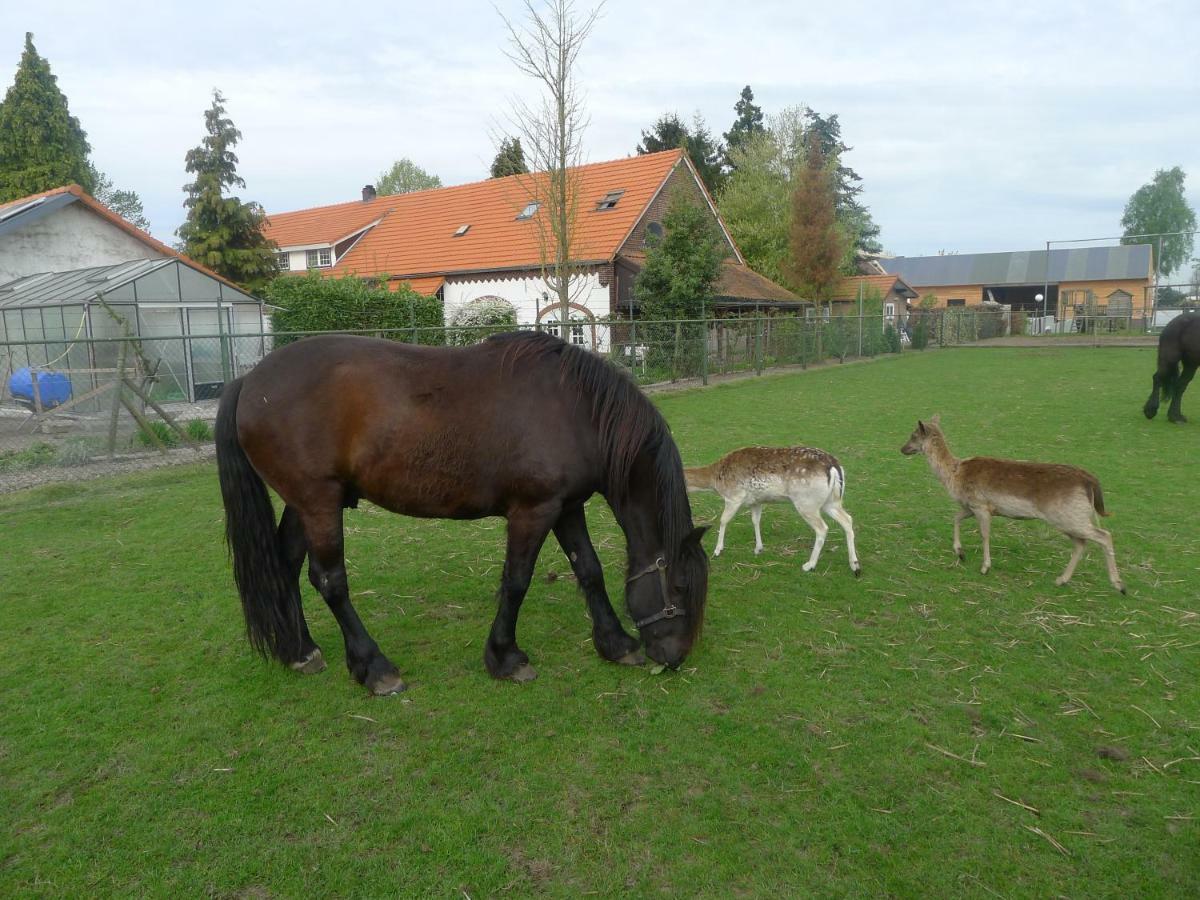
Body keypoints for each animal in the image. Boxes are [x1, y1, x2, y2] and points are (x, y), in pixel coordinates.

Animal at [214, 333, 705, 696]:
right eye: (680, 586)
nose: (676, 657)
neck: (574, 409)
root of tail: (249, 380)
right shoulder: (534, 511)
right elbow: (516, 581)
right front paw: (505, 657)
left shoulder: (566, 507)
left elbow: (589, 570)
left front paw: (616, 643)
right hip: (319, 503)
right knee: (330, 581)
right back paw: (374, 667)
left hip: (306, 504)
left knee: (286, 565)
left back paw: (300, 651)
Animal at [686, 446, 864, 578]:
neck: (716, 480)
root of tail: (834, 467)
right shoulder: (756, 501)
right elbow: (755, 520)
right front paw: (758, 548)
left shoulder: (734, 496)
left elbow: (723, 520)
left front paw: (717, 550)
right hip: (831, 502)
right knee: (848, 520)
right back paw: (855, 566)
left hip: (806, 502)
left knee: (822, 528)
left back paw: (809, 565)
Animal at [902, 415, 1123, 592]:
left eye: (913, 435)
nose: (902, 448)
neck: (954, 474)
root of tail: (1090, 481)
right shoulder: (970, 506)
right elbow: (955, 517)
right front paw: (960, 553)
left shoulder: (980, 505)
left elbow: (984, 534)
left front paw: (985, 567)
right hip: (1070, 518)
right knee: (1081, 543)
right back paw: (1062, 580)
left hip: (1068, 516)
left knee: (1103, 535)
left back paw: (1119, 586)